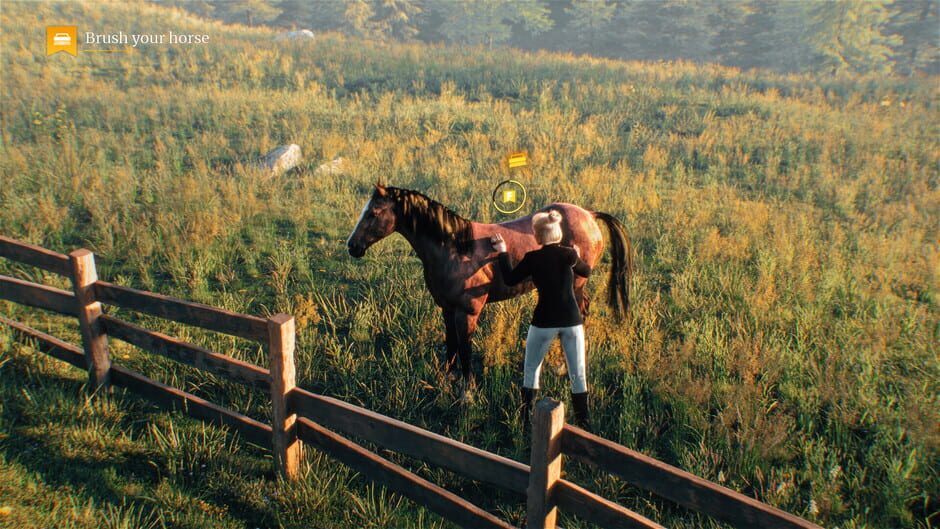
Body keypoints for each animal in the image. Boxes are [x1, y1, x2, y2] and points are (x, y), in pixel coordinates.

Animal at [346, 183, 633, 397]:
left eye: (373, 213)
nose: (352, 246)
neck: (456, 248)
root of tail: (589, 214)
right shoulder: (447, 309)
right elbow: (451, 344)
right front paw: (446, 381)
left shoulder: (468, 312)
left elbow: (465, 347)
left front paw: (468, 392)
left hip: (574, 285)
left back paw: (564, 367)